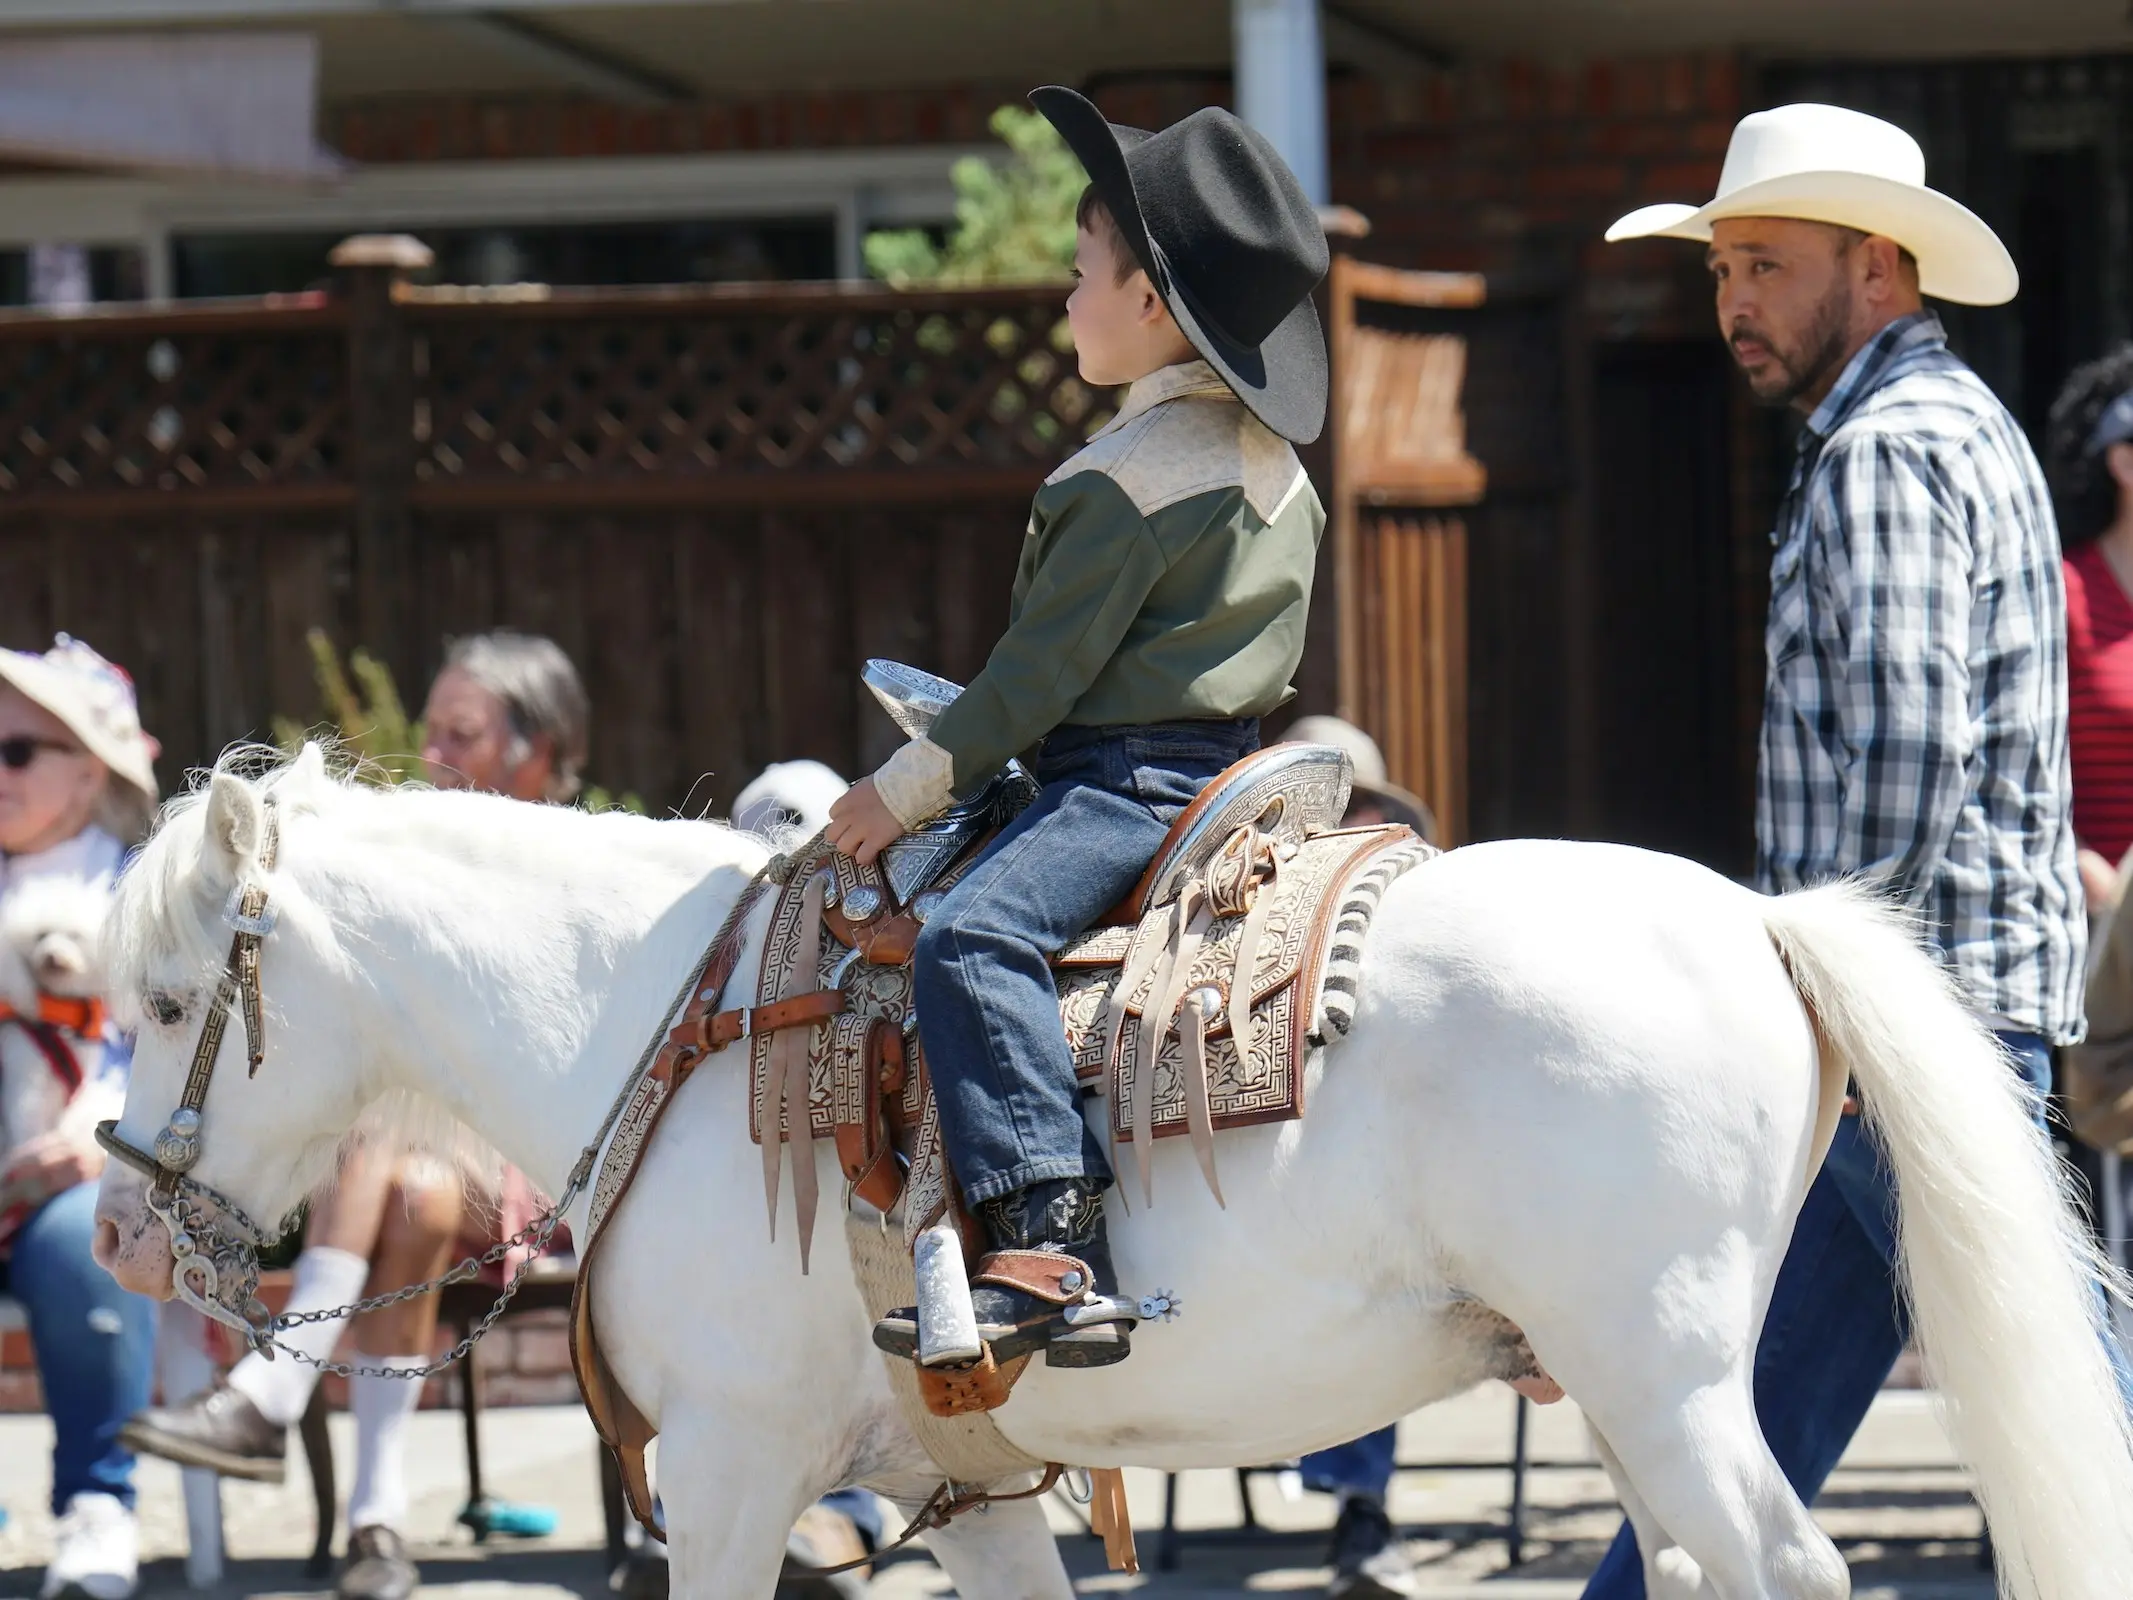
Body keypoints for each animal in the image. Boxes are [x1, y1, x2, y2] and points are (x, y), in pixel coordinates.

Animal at [91, 750, 2133, 1600]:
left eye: (176, 997)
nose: (116, 1229)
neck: (669, 1028)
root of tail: (1760, 919)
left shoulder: (735, 1473)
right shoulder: (971, 1483)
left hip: (1662, 1374)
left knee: (1784, 1569)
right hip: (1630, 1391)